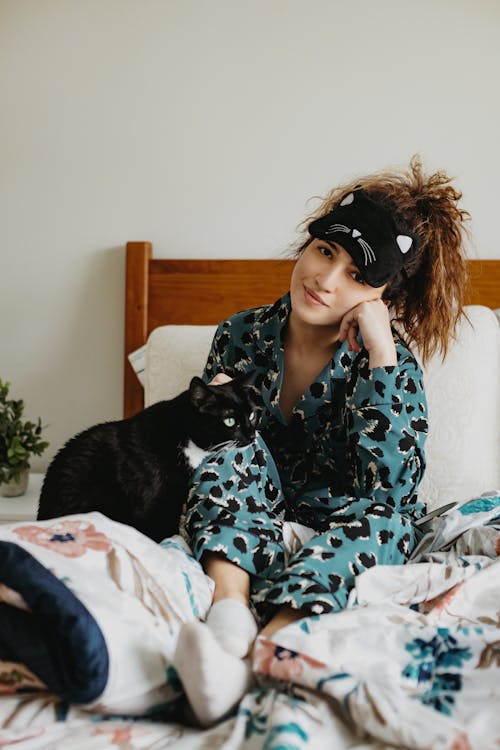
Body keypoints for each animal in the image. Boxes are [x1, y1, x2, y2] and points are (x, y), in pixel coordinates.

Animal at [38, 378, 256, 544]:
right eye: (230, 421)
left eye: (252, 415)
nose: (252, 435)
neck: (181, 434)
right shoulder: (154, 505)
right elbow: (160, 531)